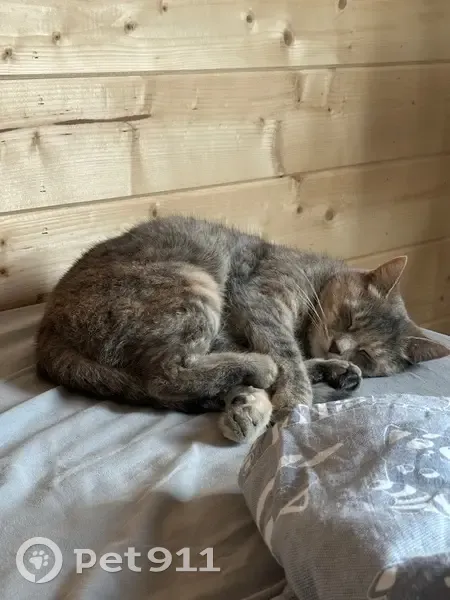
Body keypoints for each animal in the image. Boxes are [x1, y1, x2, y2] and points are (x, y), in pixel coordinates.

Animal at [35, 216, 449, 442]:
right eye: (349, 317)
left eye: (365, 352)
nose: (338, 347)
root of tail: (47, 331)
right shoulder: (259, 302)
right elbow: (286, 355)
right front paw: (293, 400)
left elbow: (291, 359)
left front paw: (336, 371)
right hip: (194, 285)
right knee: (165, 375)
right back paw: (255, 373)